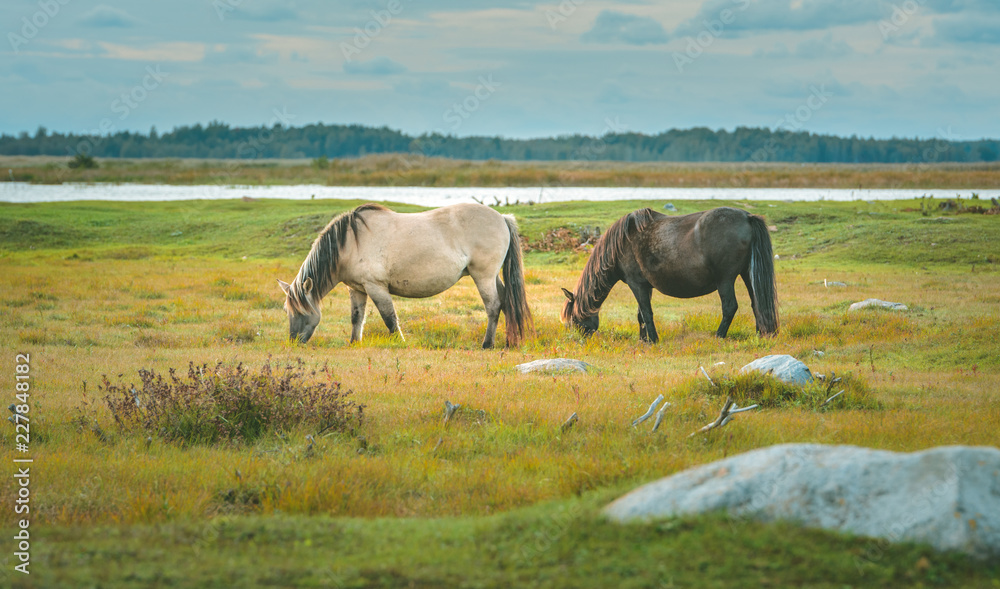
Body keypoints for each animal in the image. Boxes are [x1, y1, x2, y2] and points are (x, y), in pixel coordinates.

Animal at [278, 202, 533, 348]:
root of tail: (502, 218)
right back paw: (509, 342)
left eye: (302, 311)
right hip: (492, 277)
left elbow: (389, 318)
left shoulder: (376, 287)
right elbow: (356, 318)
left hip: (483, 277)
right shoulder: (357, 289)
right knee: (507, 303)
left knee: (494, 306)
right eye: (286, 311)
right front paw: (354, 343)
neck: (351, 242)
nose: (293, 342)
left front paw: (400, 343)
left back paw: (487, 344)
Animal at [561, 206, 778, 341]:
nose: (577, 340)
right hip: (747, 275)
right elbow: (640, 315)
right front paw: (644, 340)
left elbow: (646, 313)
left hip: (725, 280)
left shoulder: (636, 284)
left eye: (573, 319)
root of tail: (747, 217)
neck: (622, 243)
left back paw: (719, 336)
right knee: (757, 304)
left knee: (730, 307)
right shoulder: (645, 286)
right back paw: (760, 335)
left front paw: (653, 340)